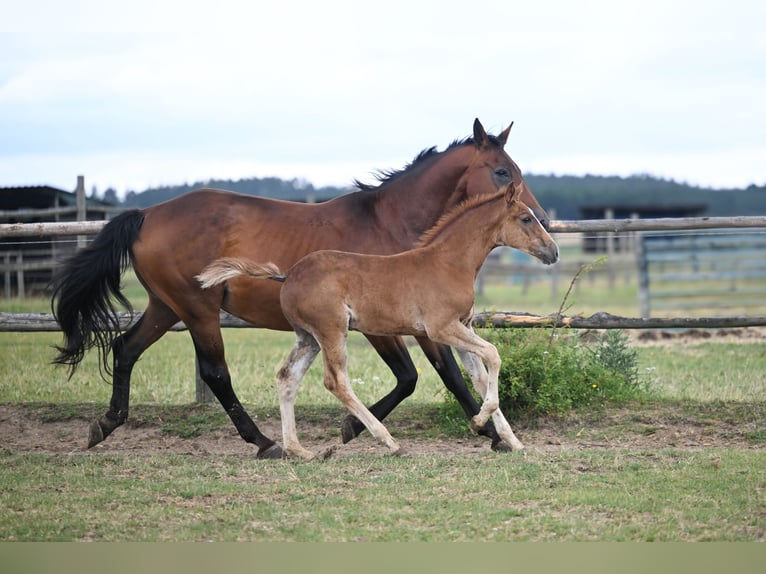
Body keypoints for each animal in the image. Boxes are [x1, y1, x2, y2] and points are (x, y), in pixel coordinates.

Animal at [197, 183, 559, 459]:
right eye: (526, 218)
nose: (553, 252)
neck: (448, 263)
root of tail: (288, 275)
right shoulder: (442, 328)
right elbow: (493, 356)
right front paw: (482, 423)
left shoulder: (463, 327)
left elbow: (481, 378)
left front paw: (511, 440)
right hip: (332, 330)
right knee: (336, 381)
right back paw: (388, 441)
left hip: (308, 337)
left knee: (287, 378)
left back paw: (298, 450)